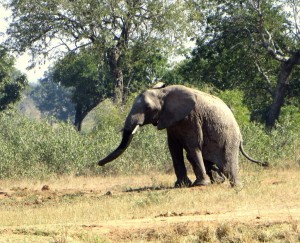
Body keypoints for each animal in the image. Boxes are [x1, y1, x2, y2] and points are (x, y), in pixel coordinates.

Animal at [98, 83, 268, 188]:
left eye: (148, 108)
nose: (99, 163)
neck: (163, 92)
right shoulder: (171, 120)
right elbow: (174, 148)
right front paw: (181, 185)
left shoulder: (191, 117)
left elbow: (193, 145)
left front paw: (200, 185)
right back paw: (218, 180)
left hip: (229, 139)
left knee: (227, 163)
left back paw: (234, 185)